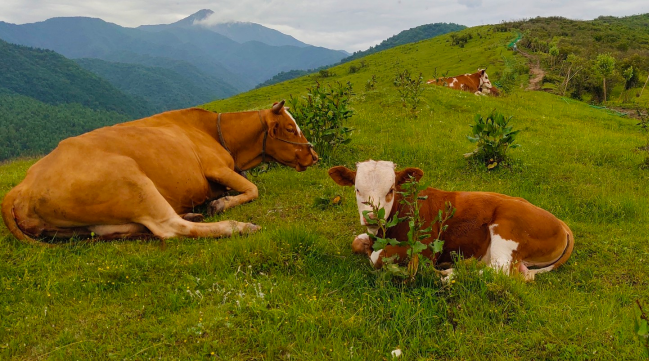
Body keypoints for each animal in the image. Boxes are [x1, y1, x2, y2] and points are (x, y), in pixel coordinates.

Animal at [1, 100, 316, 245]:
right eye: (290, 128)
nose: (314, 155)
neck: (214, 132)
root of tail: (21, 186)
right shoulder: (216, 168)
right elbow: (253, 189)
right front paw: (220, 203)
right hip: (132, 179)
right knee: (169, 228)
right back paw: (237, 226)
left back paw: (193, 213)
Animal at [330, 160, 572, 282]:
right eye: (357, 189)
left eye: (390, 190)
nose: (372, 216)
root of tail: (561, 224)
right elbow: (356, 242)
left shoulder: (425, 248)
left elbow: (376, 258)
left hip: (507, 227)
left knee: (500, 270)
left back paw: (451, 273)